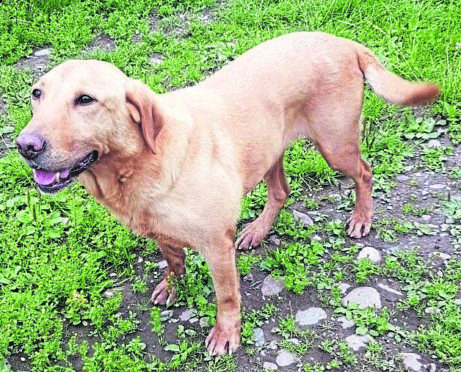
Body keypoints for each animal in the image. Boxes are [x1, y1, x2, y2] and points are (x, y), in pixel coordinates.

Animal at [16, 32, 436, 354]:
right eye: (36, 94)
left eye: (85, 99)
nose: (25, 145)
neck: (141, 164)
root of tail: (344, 42)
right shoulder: (161, 232)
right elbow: (173, 260)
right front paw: (174, 286)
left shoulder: (216, 246)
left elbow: (227, 296)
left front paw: (226, 334)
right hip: (269, 150)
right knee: (281, 191)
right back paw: (258, 231)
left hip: (335, 146)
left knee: (364, 173)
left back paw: (362, 217)